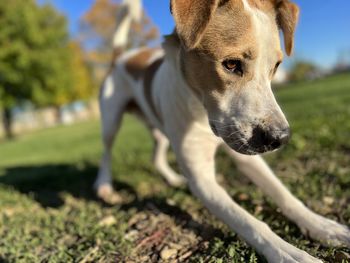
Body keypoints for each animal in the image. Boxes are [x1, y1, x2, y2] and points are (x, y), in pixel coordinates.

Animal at [95, 0, 350, 262]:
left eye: (276, 66)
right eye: (231, 64)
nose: (281, 138)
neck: (201, 114)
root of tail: (120, 57)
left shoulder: (247, 153)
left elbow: (283, 193)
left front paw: (321, 225)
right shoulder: (203, 181)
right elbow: (250, 222)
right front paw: (289, 253)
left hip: (160, 126)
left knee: (156, 154)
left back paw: (173, 178)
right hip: (111, 121)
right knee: (106, 152)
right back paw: (104, 185)